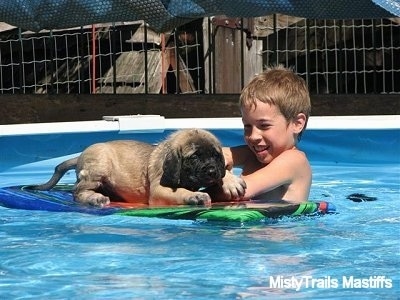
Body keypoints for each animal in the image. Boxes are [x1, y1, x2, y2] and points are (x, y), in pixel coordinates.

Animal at [29, 127, 245, 207]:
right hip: (100, 164)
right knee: (78, 191)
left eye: (215, 156)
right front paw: (196, 196)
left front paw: (229, 180)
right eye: (194, 157)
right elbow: (181, 192)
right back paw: (95, 198)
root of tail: (80, 155)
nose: (211, 171)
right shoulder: (159, 190)